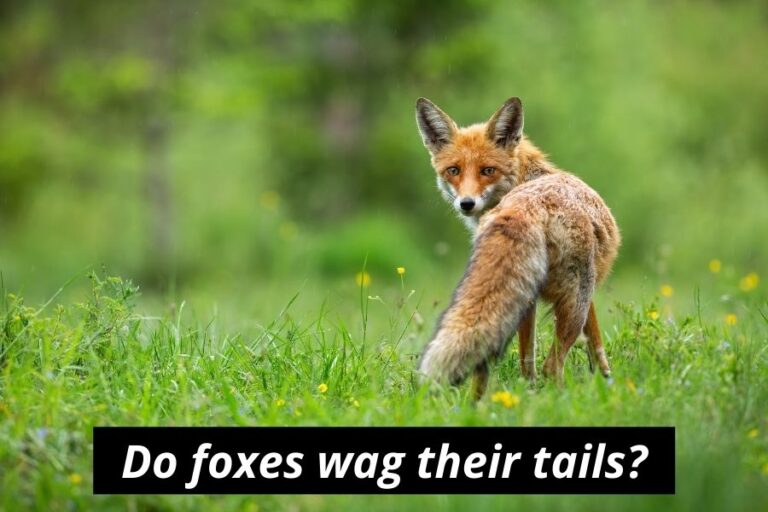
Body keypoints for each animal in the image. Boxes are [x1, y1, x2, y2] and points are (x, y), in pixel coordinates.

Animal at [415, 96, 620, 397]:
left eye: (488, 170)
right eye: (454, 170)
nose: (466, 204)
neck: (526, 180)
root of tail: (525, 207)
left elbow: (536, 356)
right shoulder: (587, 289)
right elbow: (596, 343)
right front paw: (607, 383)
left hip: (517, 301)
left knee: (485, 365)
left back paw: (476, 404)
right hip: (573, 300)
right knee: (552, 366)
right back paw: (557, 400)